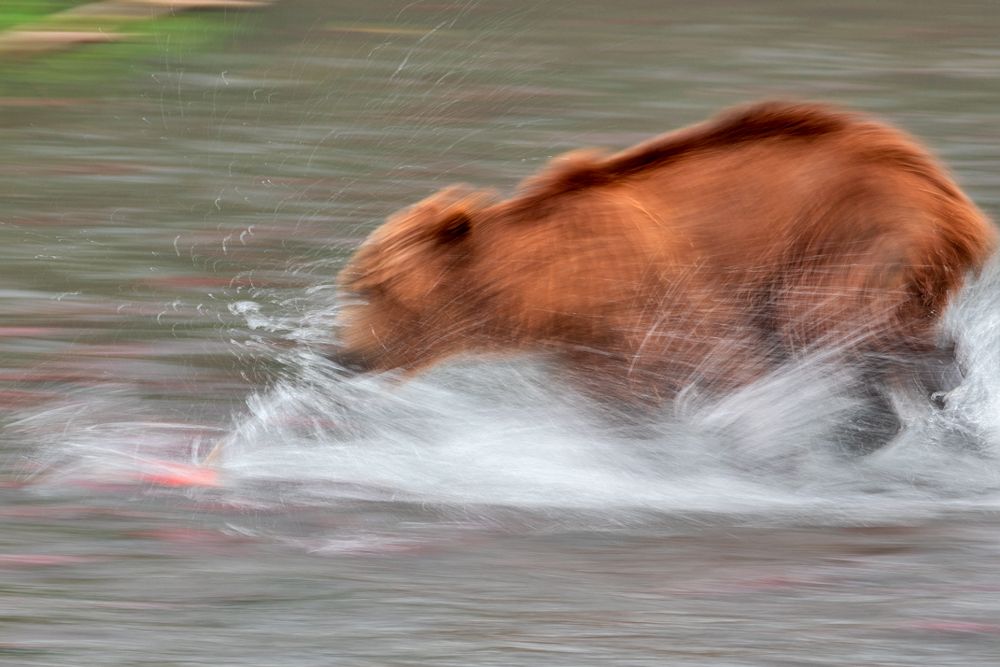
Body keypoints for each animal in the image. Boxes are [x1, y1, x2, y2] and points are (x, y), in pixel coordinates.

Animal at [332, 100, 996, 412]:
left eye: (376, 290)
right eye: (358, 286)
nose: (344, 356)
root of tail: (946, 190)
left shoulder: (652, 304)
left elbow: (725, 363)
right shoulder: (588, 350)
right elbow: (620, 404)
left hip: (852, 233)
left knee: (830, 321)